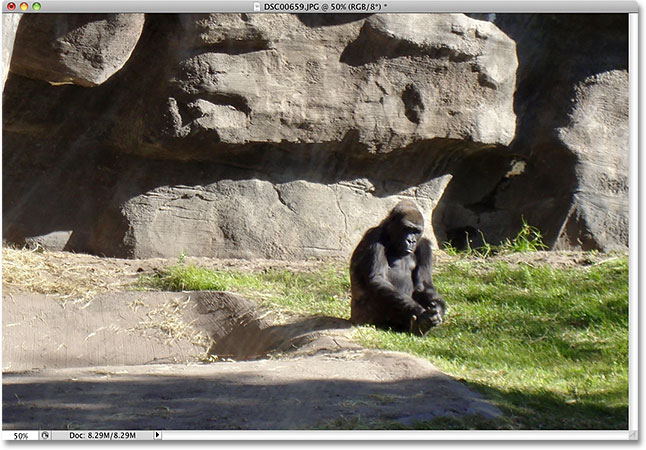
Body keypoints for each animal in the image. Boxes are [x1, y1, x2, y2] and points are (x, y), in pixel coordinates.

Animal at [352, 200, 448, 334]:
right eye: (407, 228)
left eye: (416, 231)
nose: (411, 241)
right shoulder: (374, 236)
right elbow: (377, 279)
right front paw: (421, 313)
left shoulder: (425, 246)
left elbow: (423, 286)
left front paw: (437, 308)